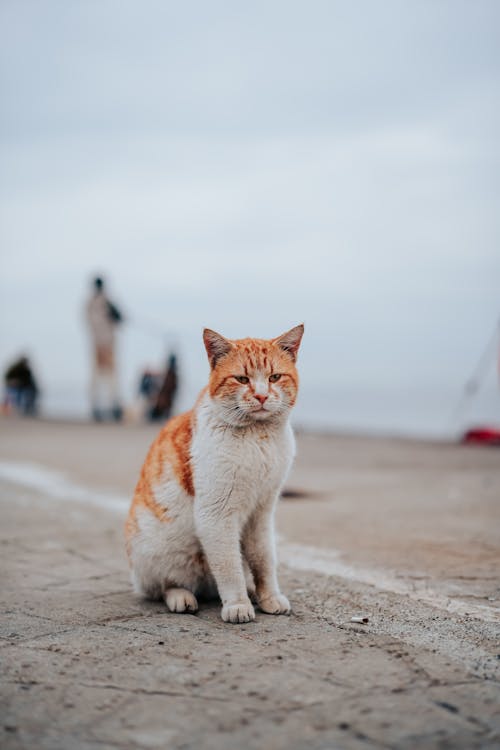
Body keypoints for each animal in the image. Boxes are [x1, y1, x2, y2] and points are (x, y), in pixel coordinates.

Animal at [127, 326, 302, 624]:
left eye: (274, 377)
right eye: (242, 379)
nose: (262, 396)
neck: (259, 436)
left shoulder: (262, 512)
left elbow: (264, 560)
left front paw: (268, 597)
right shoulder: (217, 515)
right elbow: (229, 567)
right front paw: (237, 605)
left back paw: (251, 591)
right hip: (154, 554)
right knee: (163, 586)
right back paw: (182, 597)